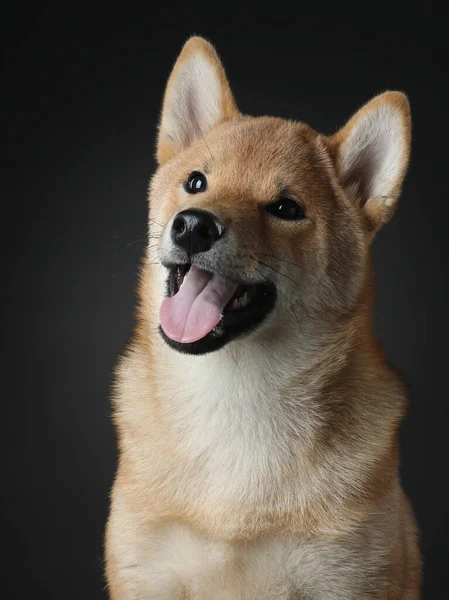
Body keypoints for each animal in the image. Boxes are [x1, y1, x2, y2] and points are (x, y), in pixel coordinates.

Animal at [105, 37, 420, 600]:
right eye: (196, 181)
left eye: (285, 208)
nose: (193, 225)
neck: (234, 401)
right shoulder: (147, 574)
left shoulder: (344, 578)